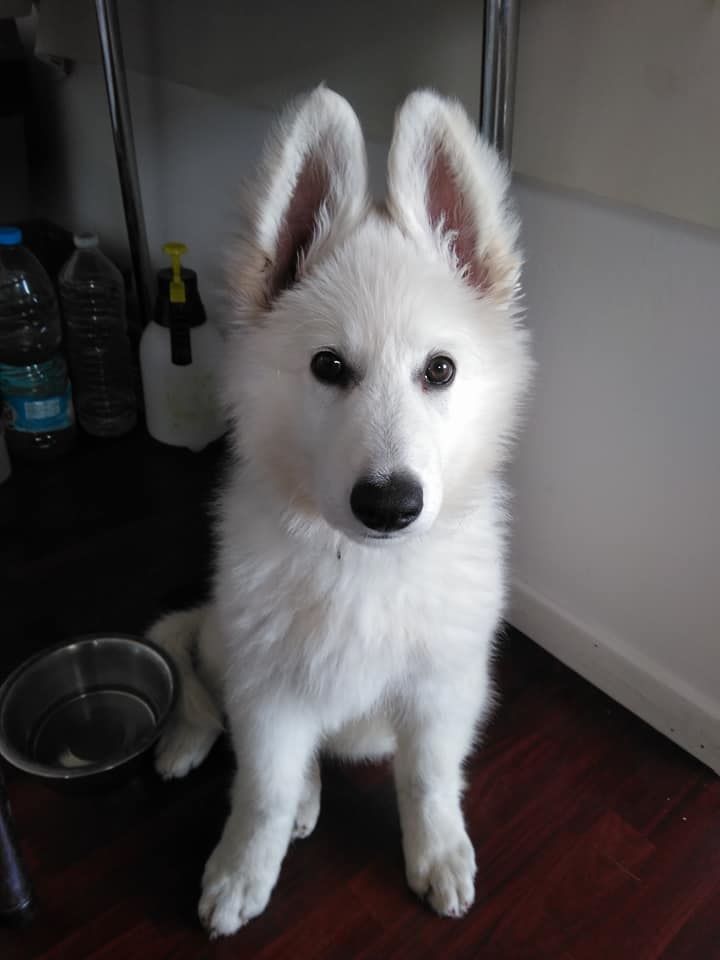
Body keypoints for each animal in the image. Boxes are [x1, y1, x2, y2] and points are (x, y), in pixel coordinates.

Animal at [148, 86, 532, 938]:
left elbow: (428, 780)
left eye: (440, 371)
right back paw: (195, 748)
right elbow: (261, 789)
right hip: (231, 641)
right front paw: (240, 870)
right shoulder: (269, 692)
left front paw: (437, 852)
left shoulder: (442, 688)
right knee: (213, 688)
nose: (389, 503)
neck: (365, 566)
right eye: (328, 367)